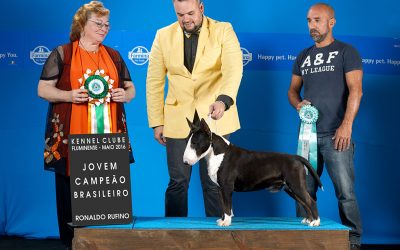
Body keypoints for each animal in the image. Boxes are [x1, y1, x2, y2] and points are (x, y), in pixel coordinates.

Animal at [183, 112, 324, 228]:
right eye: (187, 142)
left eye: (194, 143)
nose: (185, 162)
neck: (218, 153)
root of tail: (296, 157)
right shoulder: (219, 188)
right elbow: (222, 205)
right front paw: (222, 220)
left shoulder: (226, 187)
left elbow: (227, 206)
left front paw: (226, 222)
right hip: (290, 188)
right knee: (304, 202)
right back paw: (308, 219)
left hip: (296, 185)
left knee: (311, 201)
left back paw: (316, 222)